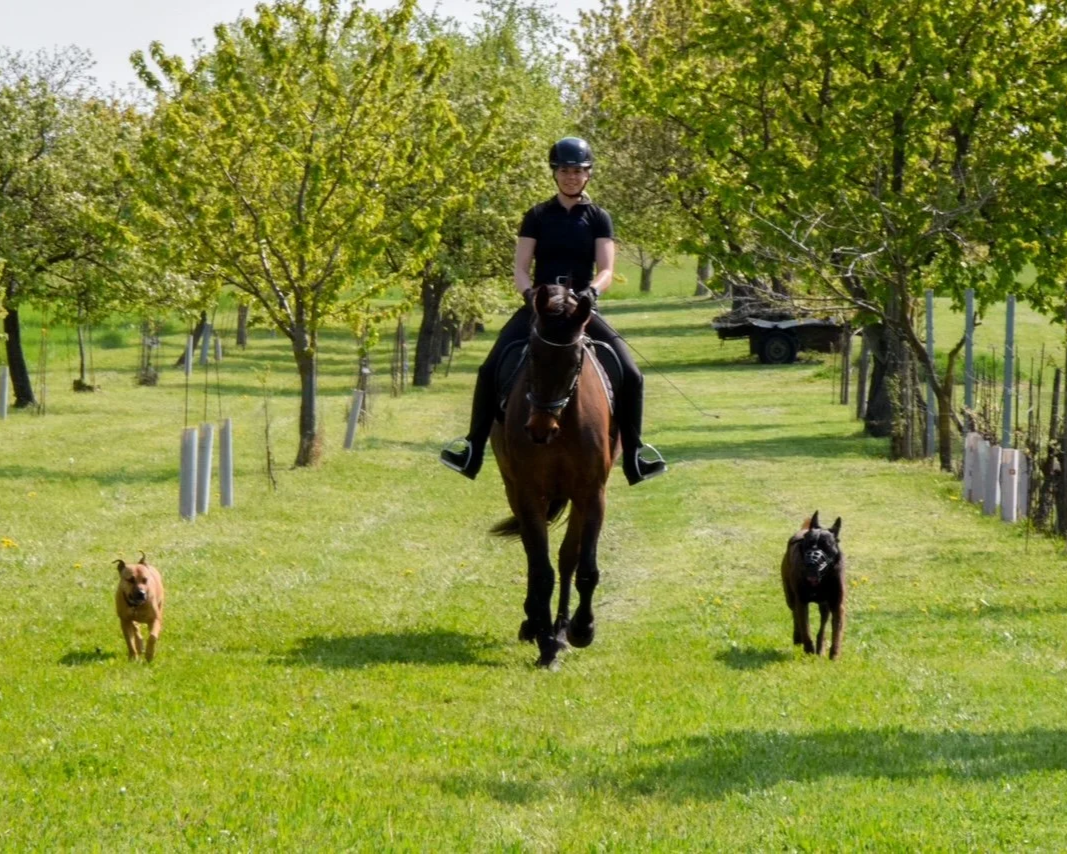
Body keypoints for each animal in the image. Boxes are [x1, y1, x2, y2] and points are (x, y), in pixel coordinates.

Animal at [489, 284, 620, 668]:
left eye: (576, 360)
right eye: (532, 355)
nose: (539, 429)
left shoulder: (592, 493)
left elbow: (582, 565)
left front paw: (579, 630)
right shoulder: (530, 493)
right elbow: (541, 569)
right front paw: (546, 643)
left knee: (565, 558)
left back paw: (560, 630)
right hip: (513, 489)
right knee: (533, 556)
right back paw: (534, 623)